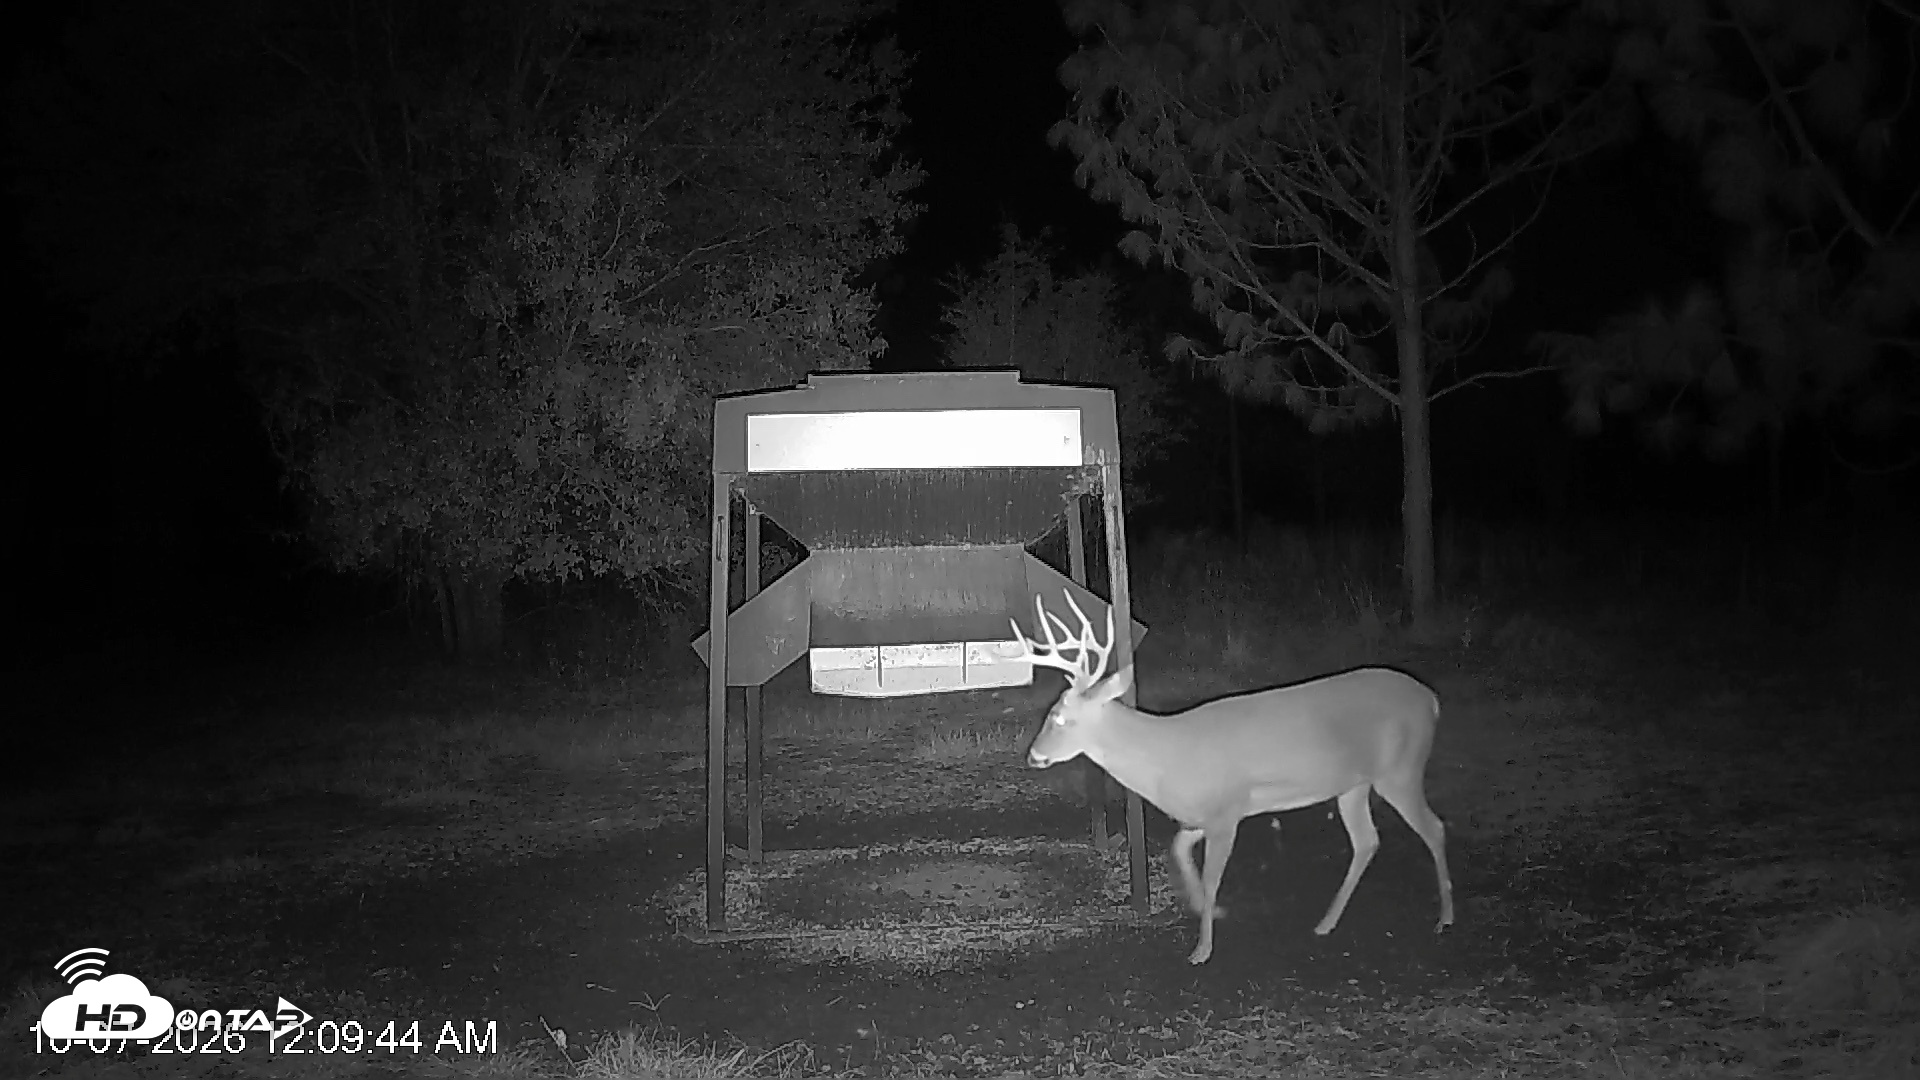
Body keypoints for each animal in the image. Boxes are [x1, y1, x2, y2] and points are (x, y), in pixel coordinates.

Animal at [1011, 590, 1453, 965]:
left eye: (1059, 717)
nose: (1034, 755)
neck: (1167, 757)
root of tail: (1431, 700)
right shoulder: (1205, 813)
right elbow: (1178, 848)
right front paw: (1210, 912)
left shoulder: (1227, 813)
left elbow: (1211, 878)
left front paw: (1201, 949)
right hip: (1354, 784)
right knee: (1367, 841)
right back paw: (1325, 923)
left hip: (1400, 769)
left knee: (1433, 827)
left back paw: (1445, 918)